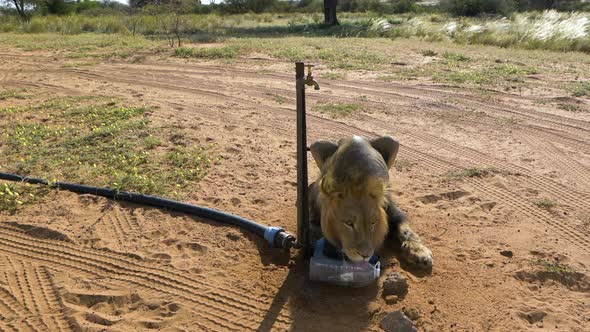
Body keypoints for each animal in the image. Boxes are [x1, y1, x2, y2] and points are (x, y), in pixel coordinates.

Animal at [310, 135, 434, 270]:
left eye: (373, 223)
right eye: (349, 223)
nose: (365, 255)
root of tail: (353, 137)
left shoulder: (391, 209)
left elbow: (406, 230)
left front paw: (419, 252)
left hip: (392, 141)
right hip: (315, 145)